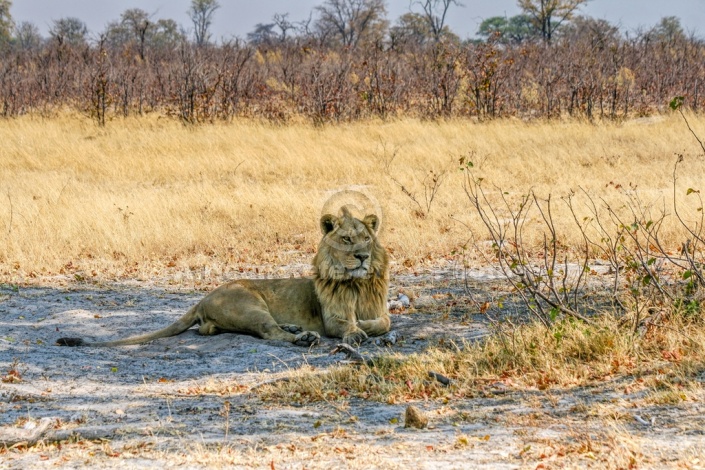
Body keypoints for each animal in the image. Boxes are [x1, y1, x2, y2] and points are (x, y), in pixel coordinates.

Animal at [56, 207, 390, 346]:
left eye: (366, 238)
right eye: (346, 240)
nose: (362, 256)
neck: (358, 284)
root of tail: (202, 299)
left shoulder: (380, 310)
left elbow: (384, 322)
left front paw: (365, 325)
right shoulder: (332, 319)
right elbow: (348, 324)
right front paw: (357, 330)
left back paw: (296, 328)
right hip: (249, 305)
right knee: (269, 332)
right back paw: (303, 337)